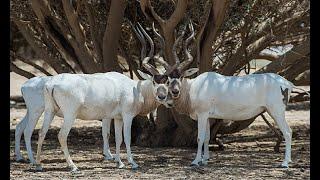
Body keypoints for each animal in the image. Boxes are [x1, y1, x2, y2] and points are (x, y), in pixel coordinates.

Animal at [33, 23, 171, 172]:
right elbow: (127, 138)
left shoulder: (117, 118)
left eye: (167, 82)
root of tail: (52, 83)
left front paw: (119, 163)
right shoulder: (127, 116)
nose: (162, 97)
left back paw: (38, 164)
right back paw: (73, 166)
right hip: (70, 114)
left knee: (42, 132)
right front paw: (132, 163)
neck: (136, 89)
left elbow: (118, 138)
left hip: (50, 111)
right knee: (62, 135)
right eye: (154, 82)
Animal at [158, 21, 296, 169]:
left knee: (288, 132)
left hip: (276, 111)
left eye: (181, 76)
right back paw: (288, 161)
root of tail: (286, 83)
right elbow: (207, 137)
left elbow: (199, 137)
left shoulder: (202, 115)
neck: (194, 87)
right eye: (168, 77)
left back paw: (285, 163)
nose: (175, 91)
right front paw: (205, 160)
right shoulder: (208, 117)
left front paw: (196, 161)